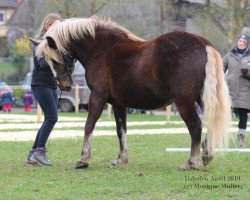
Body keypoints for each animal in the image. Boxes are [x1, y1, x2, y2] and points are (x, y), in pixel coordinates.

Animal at [30, 16, 230, 170]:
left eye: (56, 59)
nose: (64, 85)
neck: (100, 49)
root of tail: (203, 43)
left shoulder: (98, 97)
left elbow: (89, 126)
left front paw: (83, 159)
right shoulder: (118, 103)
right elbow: (121, 130)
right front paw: (121, 159)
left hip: (184, 102)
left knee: (196, 126)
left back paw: (192, 162)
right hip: (201, 98)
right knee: (210, 122)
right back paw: (206, 154)